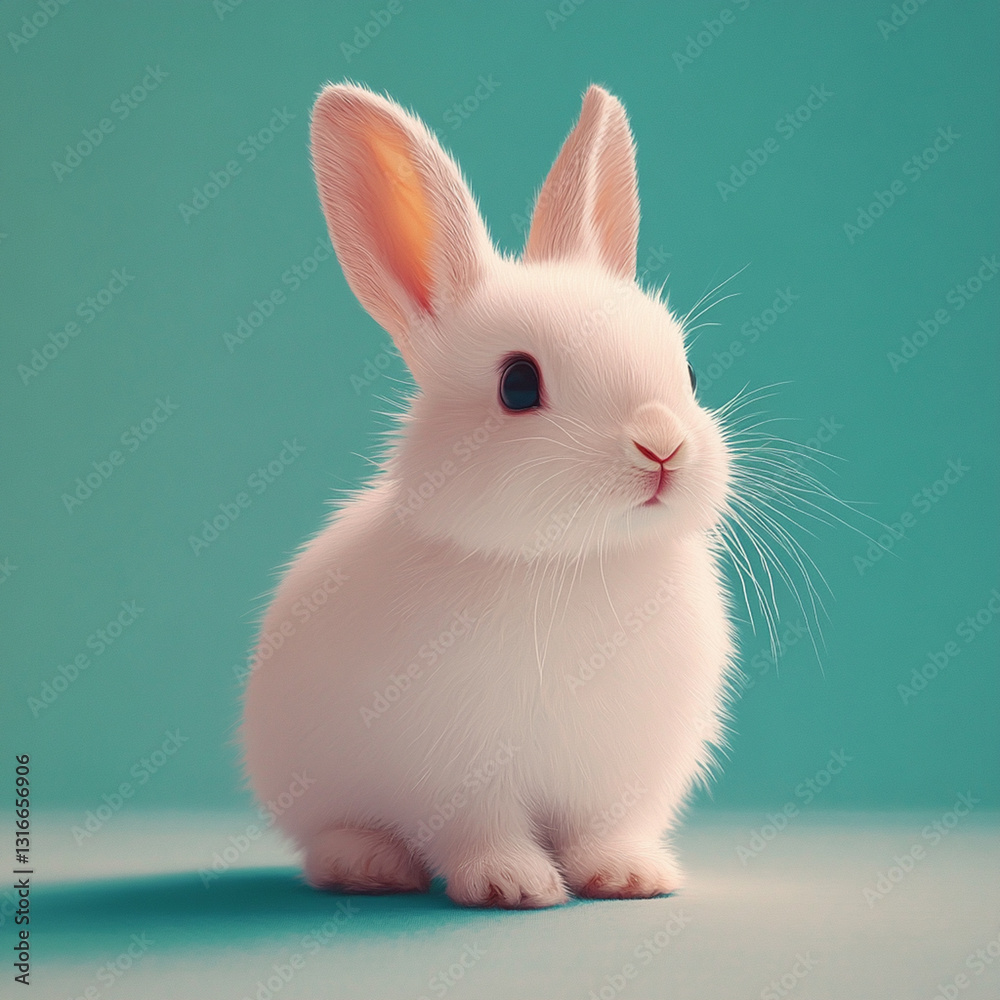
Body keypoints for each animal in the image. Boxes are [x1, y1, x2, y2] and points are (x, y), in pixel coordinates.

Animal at [241, 81, 735, 909]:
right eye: (518, 385)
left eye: (690, 375)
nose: (662, 446)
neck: (575, 562)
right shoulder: (457, 776)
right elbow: (481, 831)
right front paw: (513, 885)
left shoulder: (620, 778)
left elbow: (606, 829)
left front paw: (629, 878)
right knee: (330, 838)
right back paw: (368, 866)